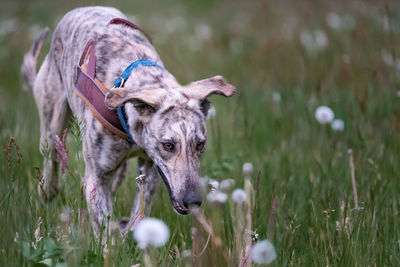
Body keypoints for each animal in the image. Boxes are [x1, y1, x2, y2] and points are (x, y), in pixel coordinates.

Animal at [21, 6, 236, 241]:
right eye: (168, 145)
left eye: (200, 144)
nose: (193, 201)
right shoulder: (97, 178)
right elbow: (103, 231)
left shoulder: (150, 169)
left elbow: (139, 217)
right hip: (52, 127)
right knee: (51, 165)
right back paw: (46, 193)